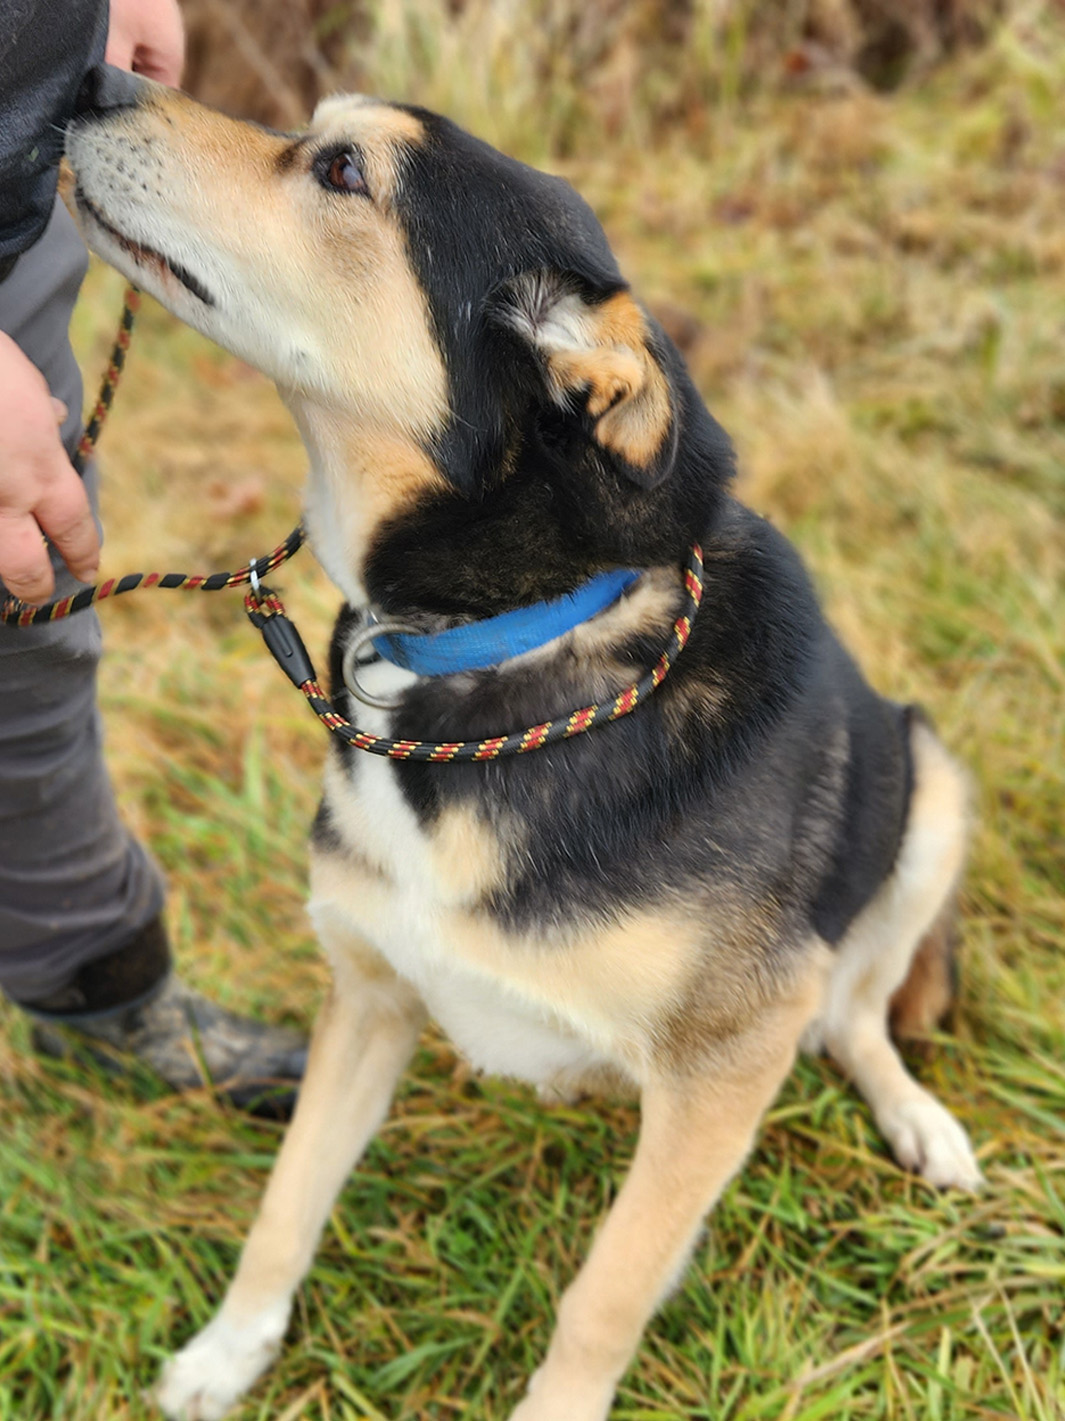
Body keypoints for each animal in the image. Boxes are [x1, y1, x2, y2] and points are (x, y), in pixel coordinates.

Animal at [66, 63, 978, 1421]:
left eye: (341, 170)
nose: (91, 75)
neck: (485, 644)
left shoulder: (733, 1055)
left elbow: (603, 1294)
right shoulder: (367, 992)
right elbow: (286, 1204)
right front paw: (225, 1356)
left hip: (928, 786)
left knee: (860, 1011)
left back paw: (922, 1120)